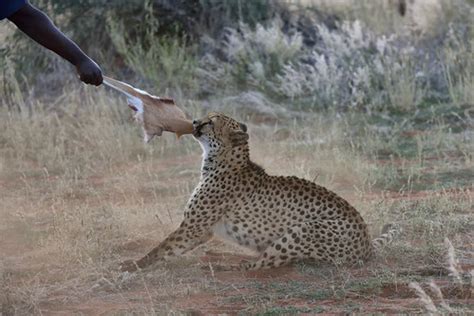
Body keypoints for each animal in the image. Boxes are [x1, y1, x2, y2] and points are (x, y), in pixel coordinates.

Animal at [123, 112, 400, 270]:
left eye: (211, 122)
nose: (194, 122)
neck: (222, 160)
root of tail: (366, 243)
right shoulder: (200, 231)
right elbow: (169, 248)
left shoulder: (193, 227)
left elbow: (162, 247)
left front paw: (133, 266)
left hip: (304, 230)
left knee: (260, 264)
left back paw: (224, 266)